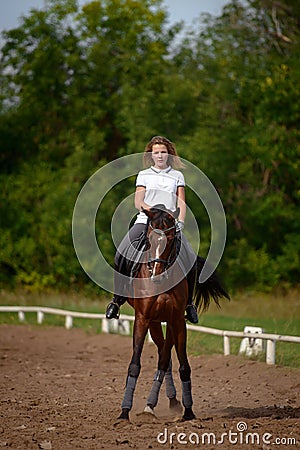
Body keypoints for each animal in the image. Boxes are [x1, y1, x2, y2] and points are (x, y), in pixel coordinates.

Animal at [117, 204, 230, 422]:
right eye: (149, 238)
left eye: (169, 240)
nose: (156, 275)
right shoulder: (143, 318)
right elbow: (135, 364)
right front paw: (124, 412)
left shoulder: (177, 320)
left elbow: (183, 366)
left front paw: (189, 412)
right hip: (154, 322)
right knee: (164, 354)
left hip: (167, 322)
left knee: (164, 357)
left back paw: (160, 403)